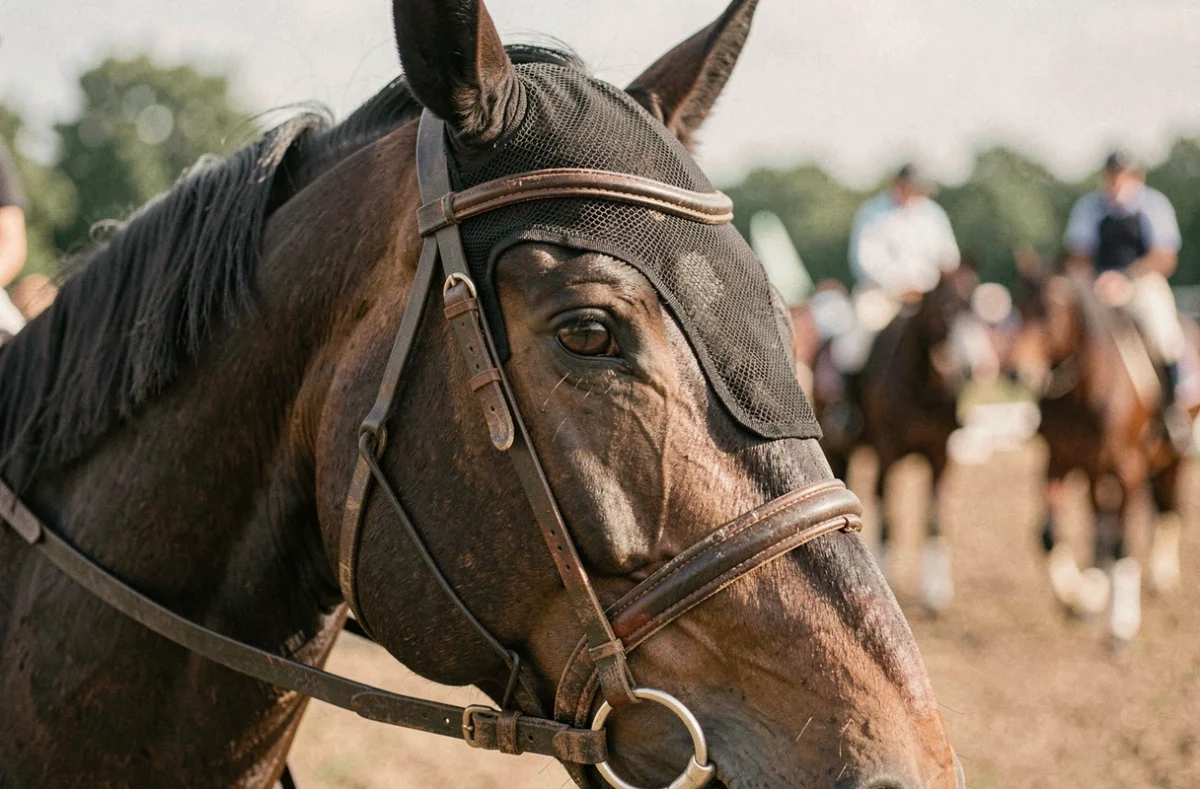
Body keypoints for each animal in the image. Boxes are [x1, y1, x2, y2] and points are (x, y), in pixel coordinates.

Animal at [813, 268, 989, 614]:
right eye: (945, 306)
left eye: (973, 307)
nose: (967, 368)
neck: (924, 386)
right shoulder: (887, 452)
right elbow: (889, 513)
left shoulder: (940, 456)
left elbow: (933, 518)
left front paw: (936, 592)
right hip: (840, 446)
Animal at [1010, 262, 1188, 643]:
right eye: (1017, 304)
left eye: (1049, 311)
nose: (1017, 372)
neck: (1085, 391)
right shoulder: (1058, 461)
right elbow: (1048, 535)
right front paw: (1075, 596)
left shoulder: (1128, 469)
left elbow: (1123, 545)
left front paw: (1121, 625)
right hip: (1096, 470)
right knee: (1101, 524)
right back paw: (1095, 589)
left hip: (1169, 460)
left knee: (1168, 509)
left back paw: (1162, 576)